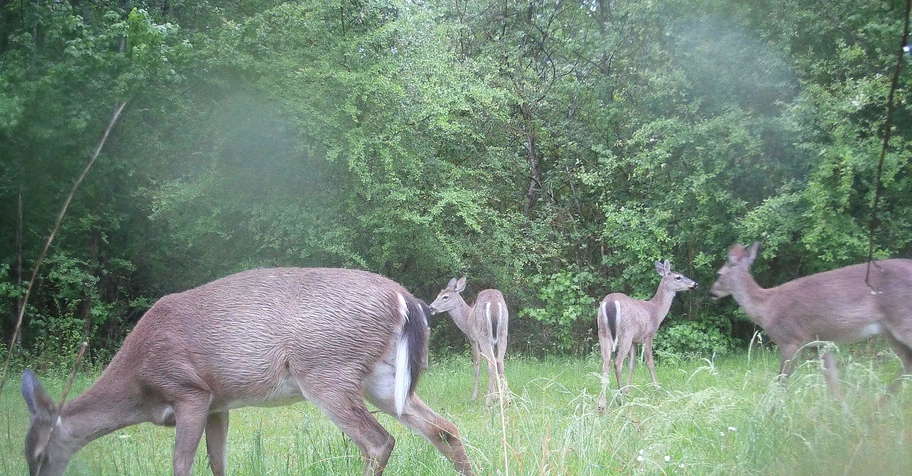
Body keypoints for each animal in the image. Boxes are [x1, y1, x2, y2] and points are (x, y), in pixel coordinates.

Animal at [19, 267, 475, 476]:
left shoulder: (189, 391)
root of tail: (405, 299)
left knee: (379, 440)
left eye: (38, 454)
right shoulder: (219, 403)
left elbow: (182, 462)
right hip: (382, 377)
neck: (138, 385)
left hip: (326, 370)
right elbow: (217, 461)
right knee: (444, 428)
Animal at [429, 277, 509, 407]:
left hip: (483, 335)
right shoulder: (492, 342)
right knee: (499, 362)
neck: (467, 320)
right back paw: (506, 399)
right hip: (503, 333)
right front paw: (496, 395)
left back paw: (489, 400)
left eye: (445, 297)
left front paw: (474, 397)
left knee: (492, 362)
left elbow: (477, 364)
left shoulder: (473, 339)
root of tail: (494, 303)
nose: (431, 307)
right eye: (438, 295)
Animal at [596, 260, 697, 411]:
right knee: (617, 362)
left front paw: (629, 391)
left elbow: (632, 365)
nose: (694, 284)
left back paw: (602, 404)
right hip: (625, 333)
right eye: (678, 277)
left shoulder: (634, 341)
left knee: (606, 362)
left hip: (603, 332)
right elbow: (650, 362)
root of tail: (610, 303)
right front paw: (658, 388)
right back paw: (620, 399)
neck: (656, 311)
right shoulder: (648, 335)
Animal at [710, 242, 912, 397]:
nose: (710, 292)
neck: (767, 308)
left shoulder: (790, 339)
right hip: (890, 332)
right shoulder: (820, 342)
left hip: (903, 320)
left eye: (719, 274)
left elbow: (781, 381)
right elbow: (833, 383)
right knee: (907, 363)